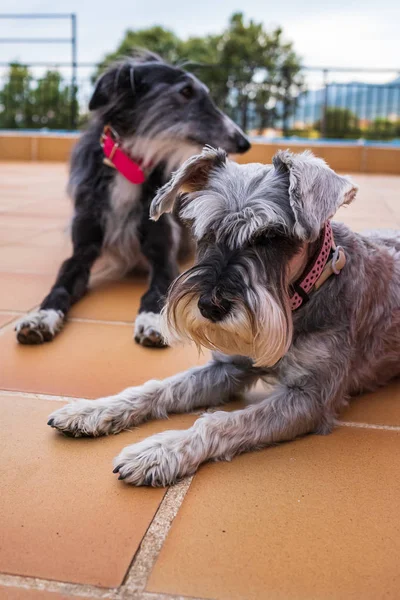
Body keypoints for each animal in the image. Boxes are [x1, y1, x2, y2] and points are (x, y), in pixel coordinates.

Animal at [47, 148, 400, 486]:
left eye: (270, 236)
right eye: (208, 229)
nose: (210, 306)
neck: (301, 299)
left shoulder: (311, 397)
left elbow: (223, 421)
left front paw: (160, 451)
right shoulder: (230, 366)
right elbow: (162, 388)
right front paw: (92, 409)